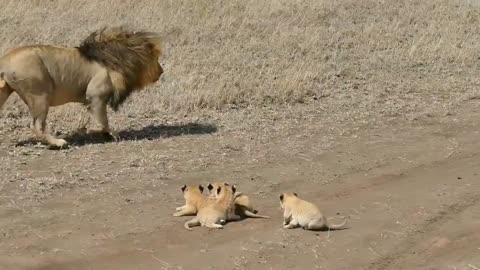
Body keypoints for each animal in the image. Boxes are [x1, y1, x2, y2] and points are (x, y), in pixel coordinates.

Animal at [0, 25, 163, 148]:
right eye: (156, 59)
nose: (162, 71)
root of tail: (5, 60)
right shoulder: (95, 96)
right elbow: (104, 119)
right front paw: (112, 134)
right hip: (39, 95)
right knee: (36, 125)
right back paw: (58, 143)